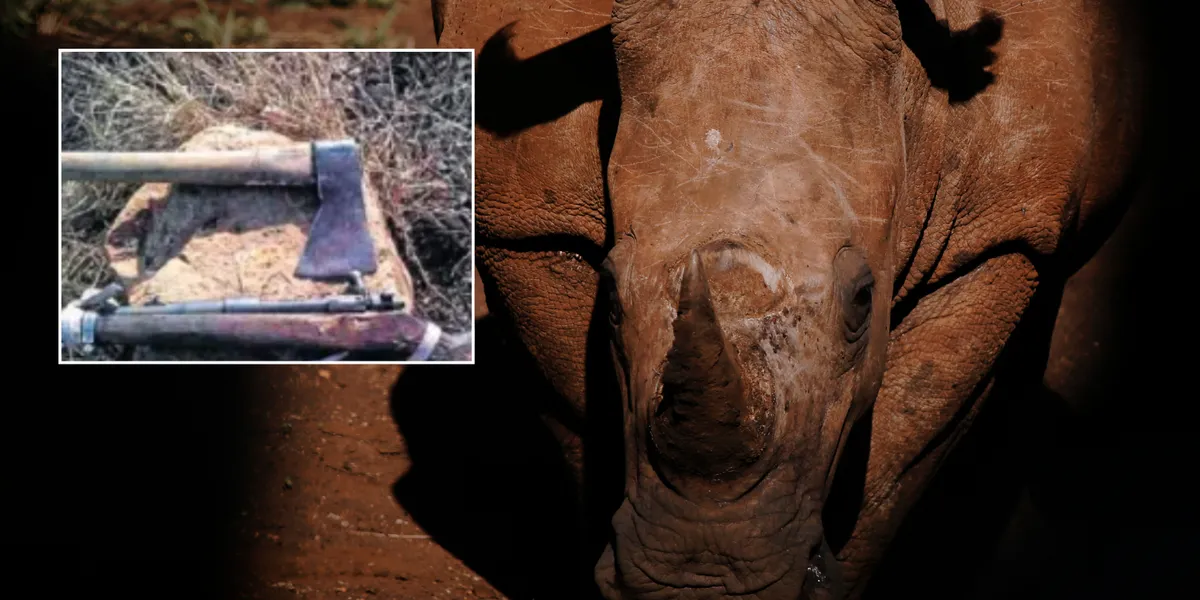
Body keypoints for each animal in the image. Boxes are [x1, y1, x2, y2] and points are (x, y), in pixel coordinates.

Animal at [437, 0, 1149, 598]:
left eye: (864, 299)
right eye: (609, 294)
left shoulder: (1004, 236)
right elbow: (580, 420)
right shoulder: (520, 220)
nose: (704, 582)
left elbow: (894, 457)